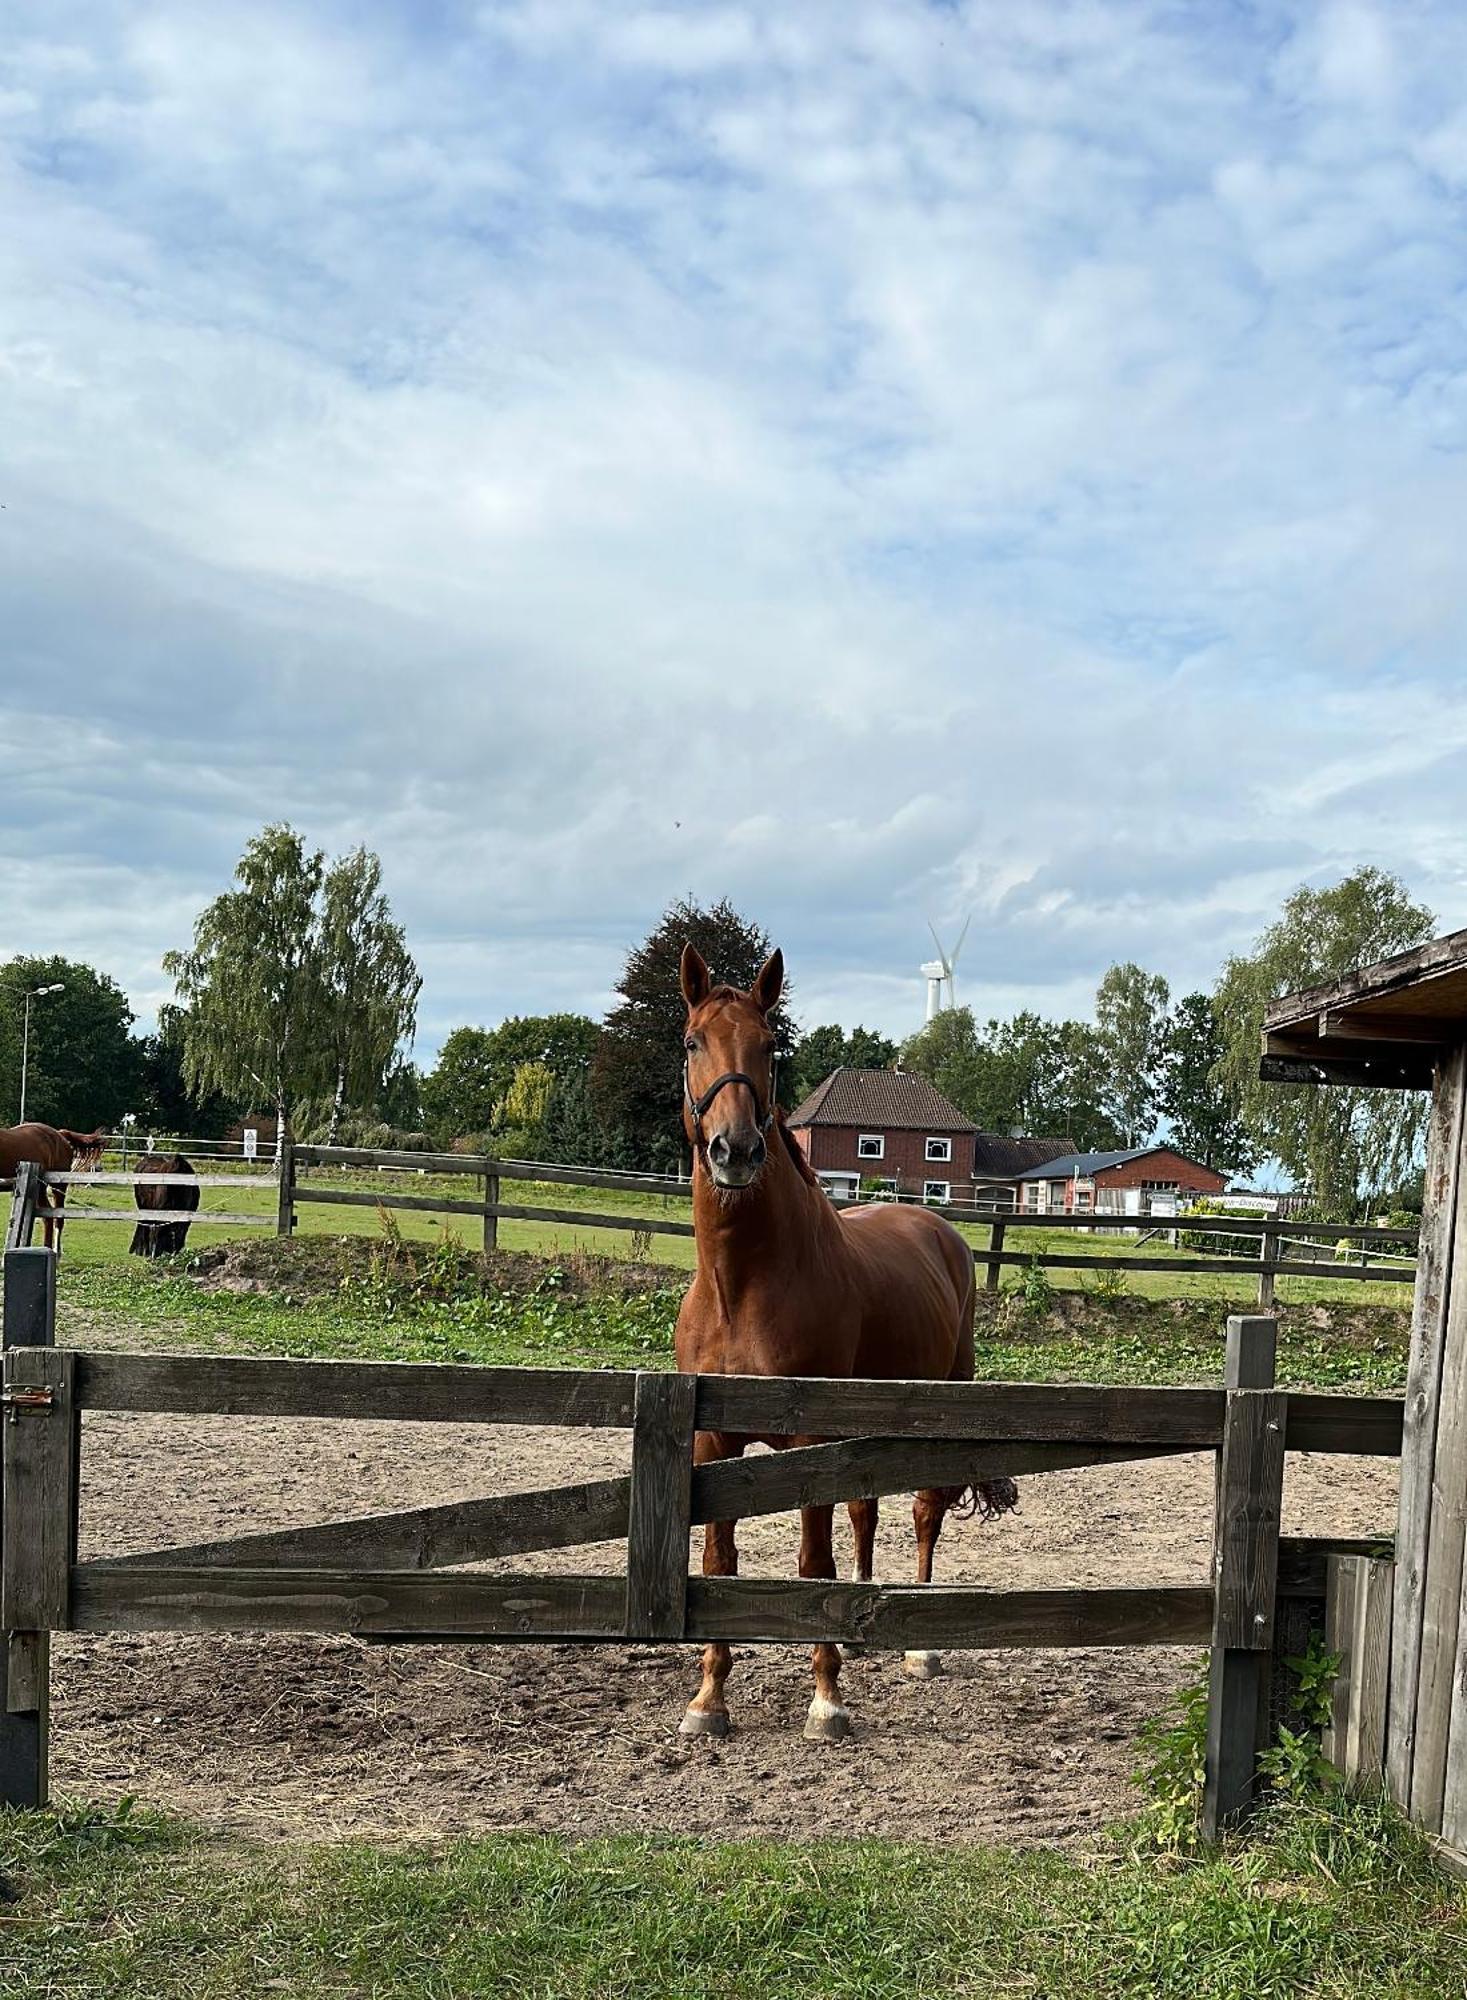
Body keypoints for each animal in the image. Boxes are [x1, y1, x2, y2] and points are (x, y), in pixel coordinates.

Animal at [679, 944, 1023, 1744]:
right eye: (692, 1042)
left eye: (768, 1049)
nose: (736, 1150)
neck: (742, 1284)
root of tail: (935, 1226)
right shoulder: (714, 1442)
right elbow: (719, 1561)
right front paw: (709, 1699)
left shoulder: (808, 1443)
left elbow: (813, 1564)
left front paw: (826, 1698)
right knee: (867, 1511)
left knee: (926, 1510)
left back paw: (920, 1648)